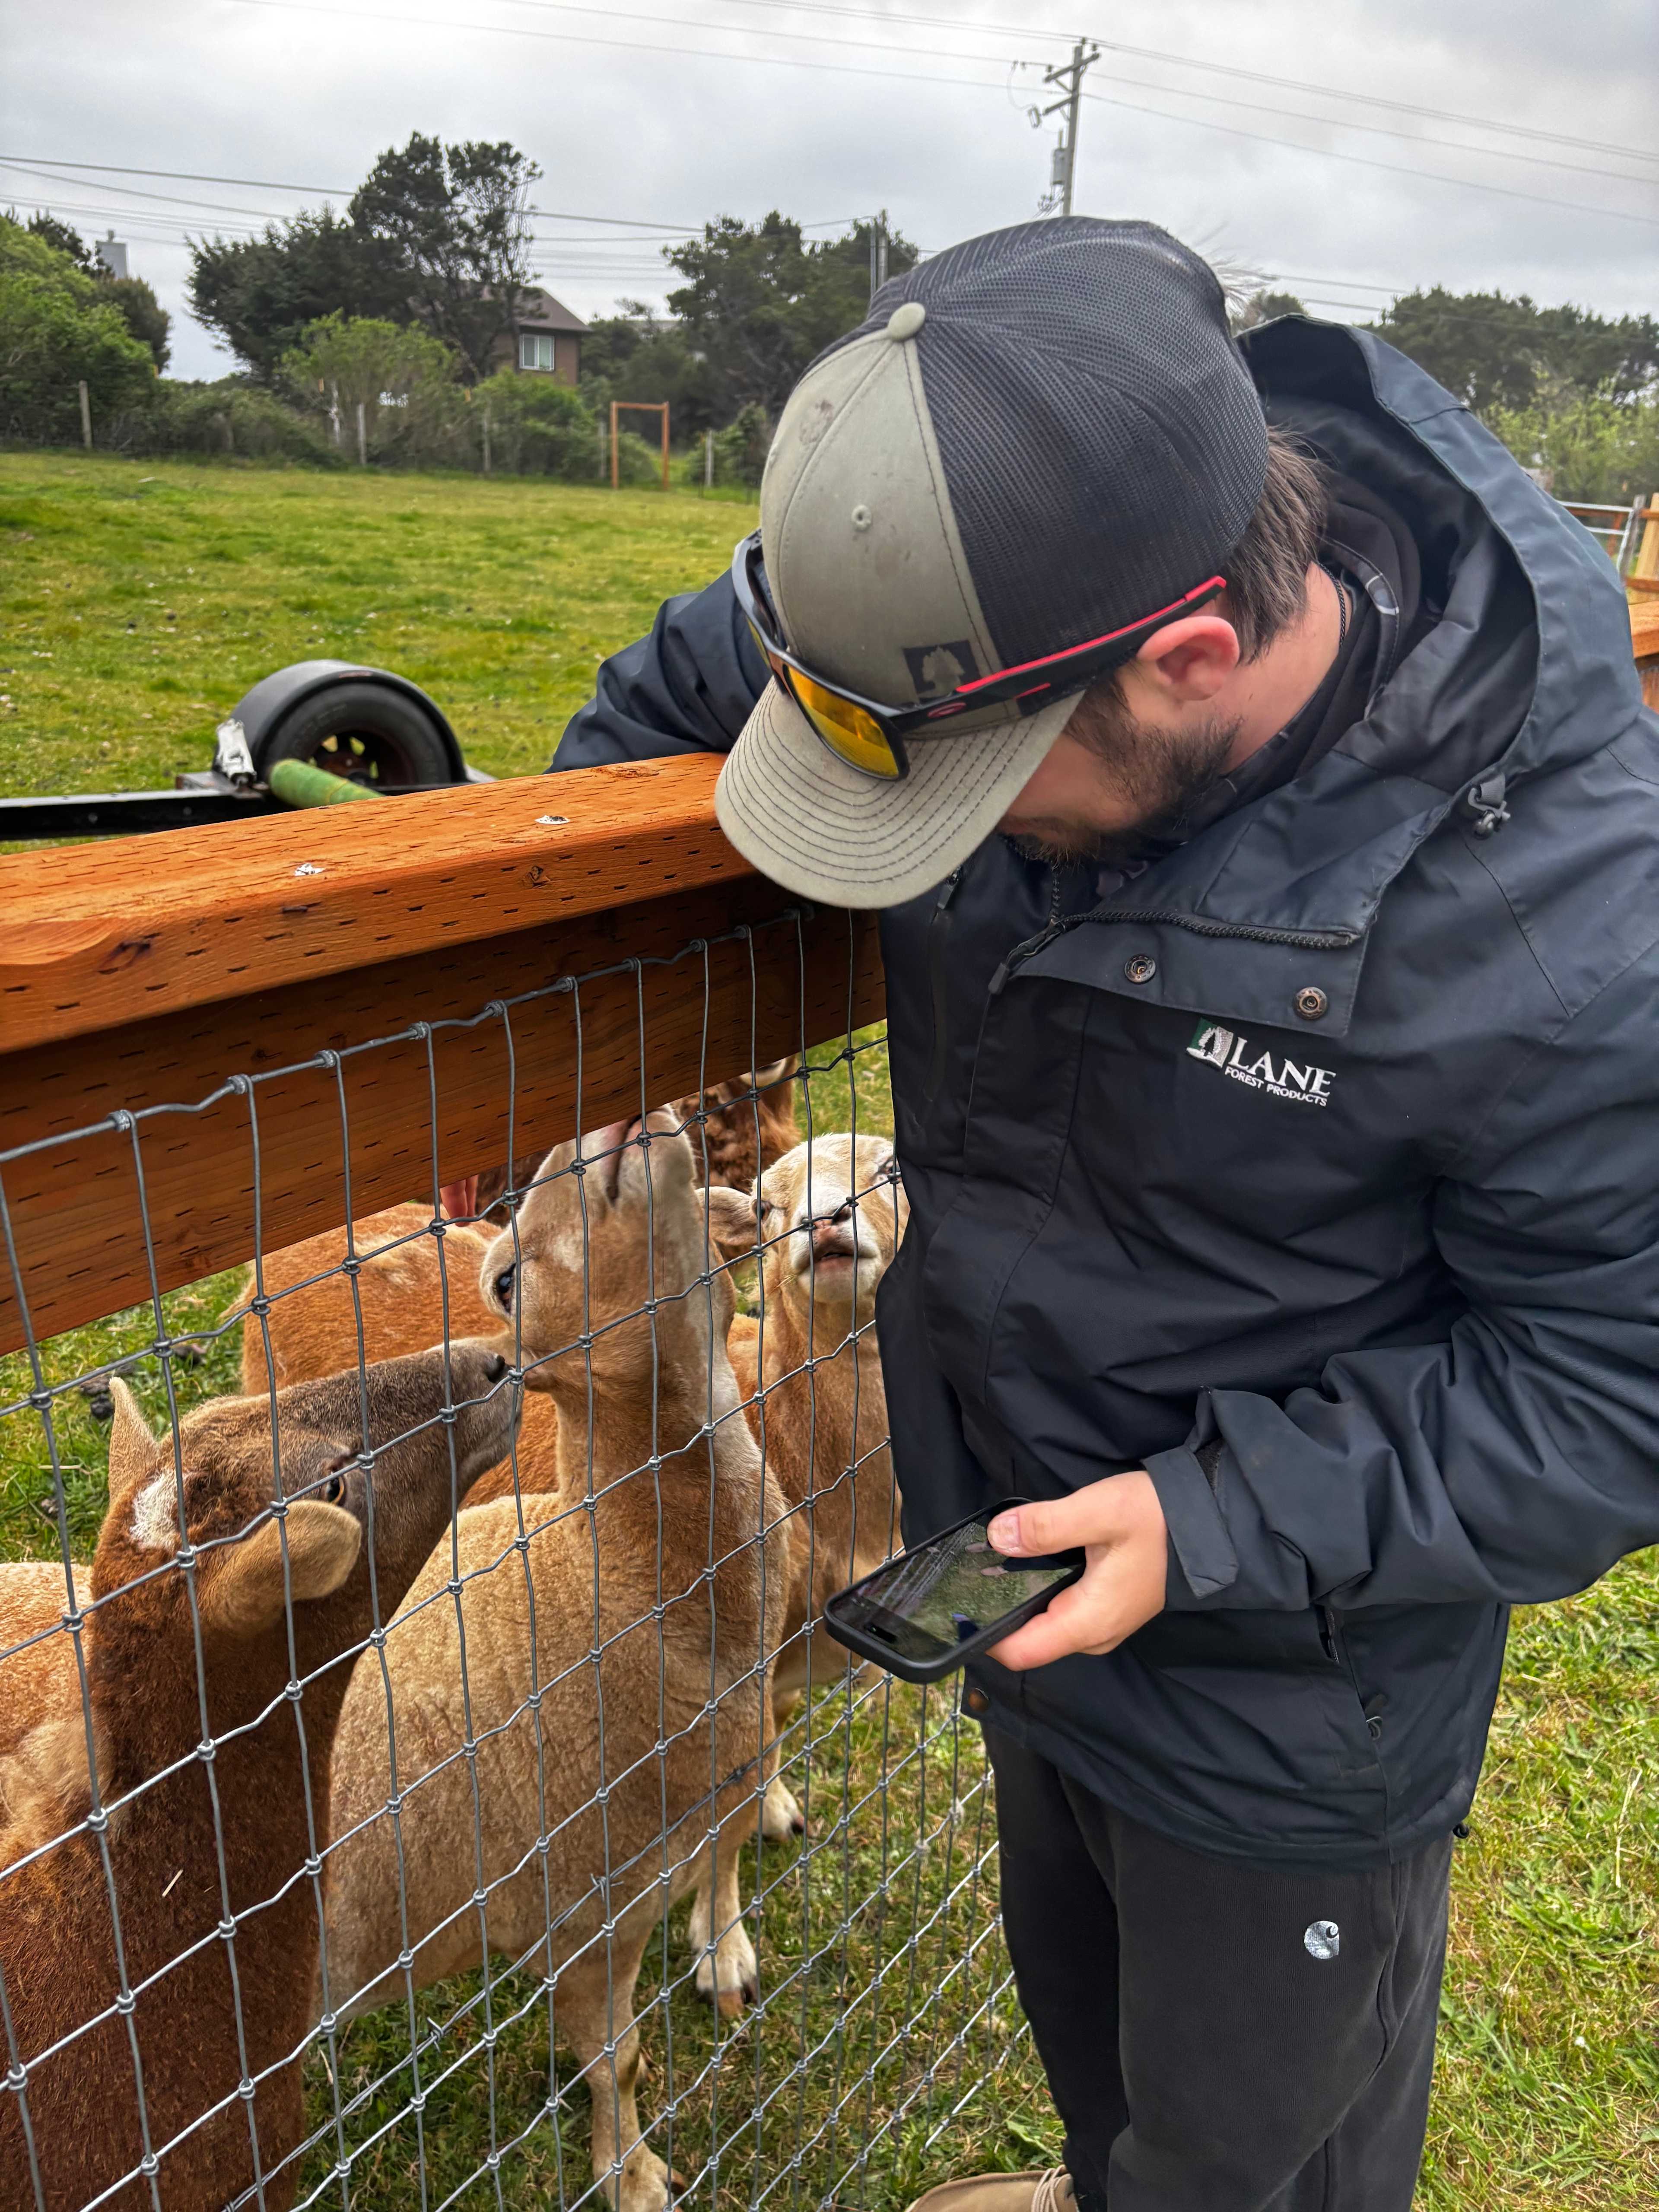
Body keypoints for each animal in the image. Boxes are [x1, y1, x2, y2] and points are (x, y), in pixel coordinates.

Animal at [321, 1112, 791, 2212]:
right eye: (504, 1281)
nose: (606, 1126)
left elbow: (725, 1848)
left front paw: (723, 1953)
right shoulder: (580, 1919)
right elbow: (615, 2059)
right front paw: (631, 2175)